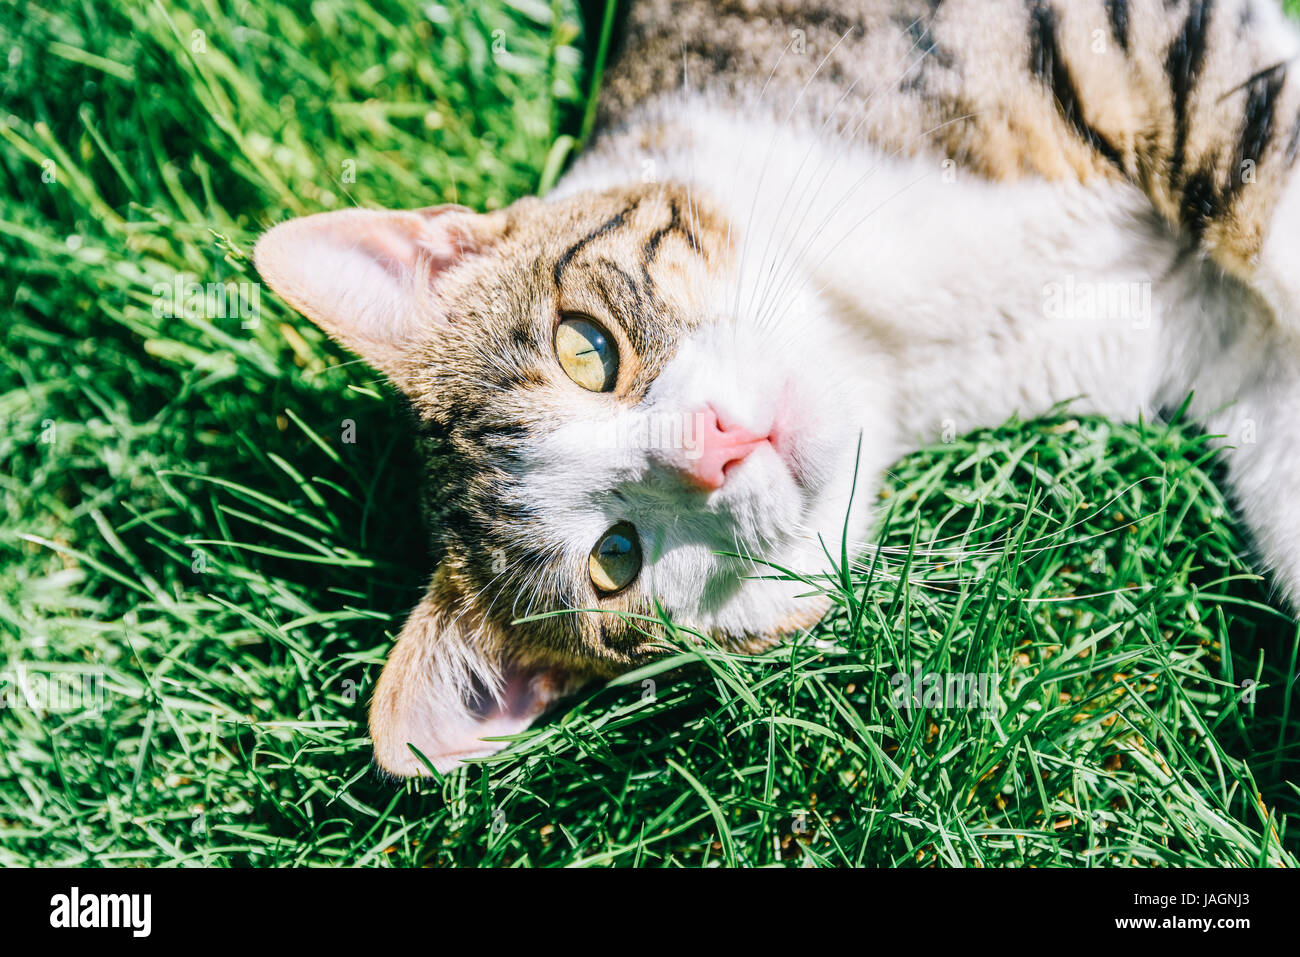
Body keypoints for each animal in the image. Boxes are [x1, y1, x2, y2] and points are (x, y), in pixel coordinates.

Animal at [253, 0, 1300, 780]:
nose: (718, 440)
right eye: (616, 558)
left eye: (586, 349)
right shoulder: (1213, 349)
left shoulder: (1110, 38)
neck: (886, 346)